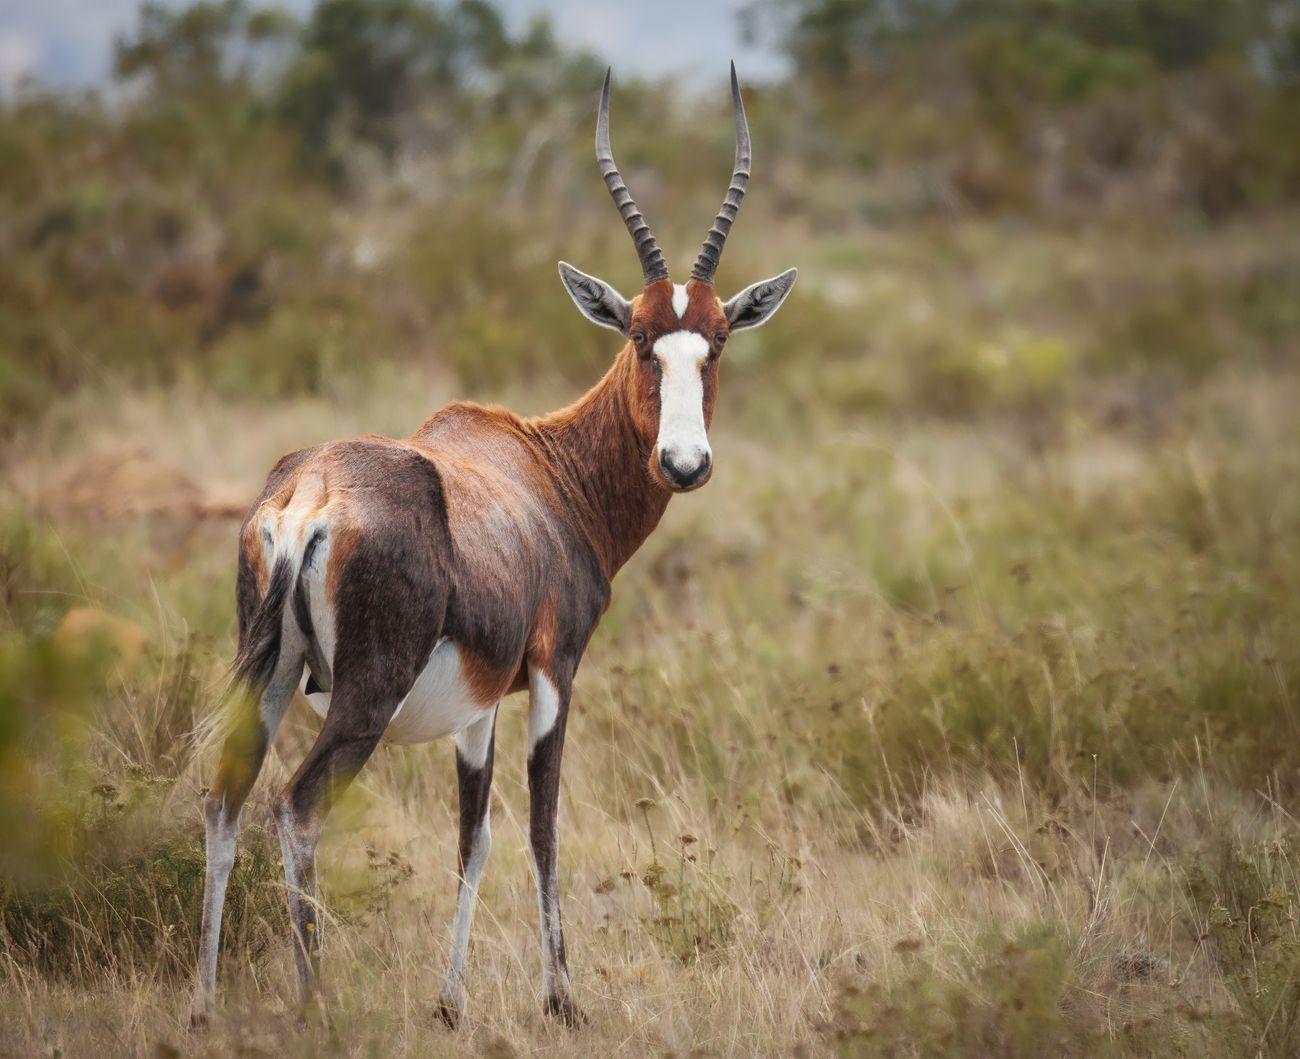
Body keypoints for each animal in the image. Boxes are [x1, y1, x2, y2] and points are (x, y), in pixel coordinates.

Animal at [189, 64, 800, 1029]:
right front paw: (563, 998)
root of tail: (309, 494)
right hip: (363, 697)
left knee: (224, 798)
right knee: (296, 806)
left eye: (718, 339)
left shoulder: (478, 702)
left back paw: (204, 1008)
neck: (544, 468)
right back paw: (314, 1000)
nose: (684, 462)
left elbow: (472, 837)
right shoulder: (554, 670)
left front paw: (451, 1002)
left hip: (272, 673)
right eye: (638, 335)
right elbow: (543, 826)